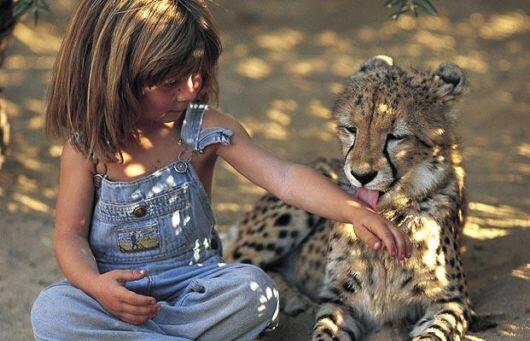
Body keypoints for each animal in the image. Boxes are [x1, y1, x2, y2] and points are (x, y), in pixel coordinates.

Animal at [223, 56, 474, 340]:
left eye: (397, 136)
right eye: (351, 129)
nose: (361, 175)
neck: (388, 214)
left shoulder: (451, 301)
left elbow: (433, 334)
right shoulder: (339, 298)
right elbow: (325, 331)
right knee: (236, 263)